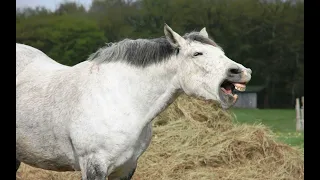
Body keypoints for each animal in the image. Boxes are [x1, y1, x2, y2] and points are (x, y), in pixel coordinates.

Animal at [16, 24, 252, 180]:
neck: (121, 99)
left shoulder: (126, 167)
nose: (241, 72)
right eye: (197, 53)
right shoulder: (94, 165)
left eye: (221, 52)